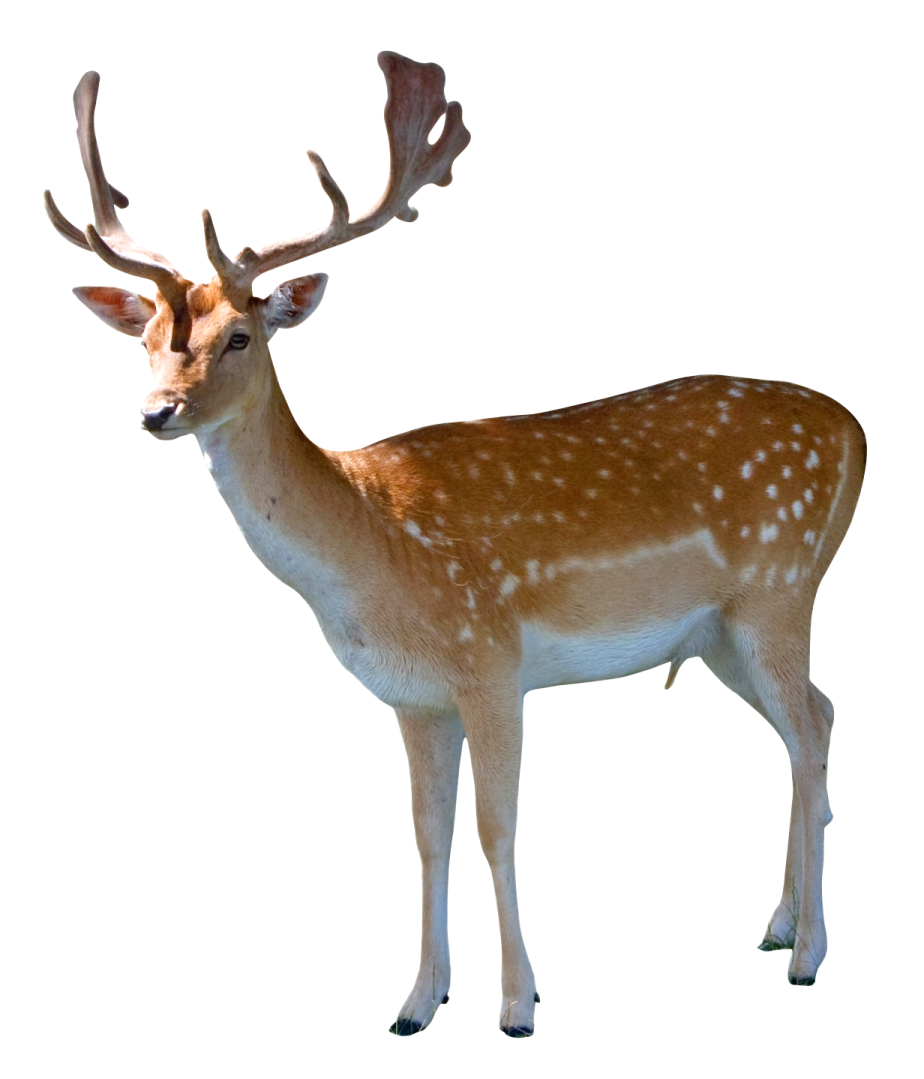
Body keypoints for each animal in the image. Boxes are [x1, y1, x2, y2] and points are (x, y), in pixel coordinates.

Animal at [44, 53, 865, 1036]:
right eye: (149, 347)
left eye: (239, 336)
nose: (156, 412)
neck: (370, 545)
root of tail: (857, 432)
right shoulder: (413, 695)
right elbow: (426, 835)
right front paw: (417, 1001)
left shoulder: (492, 661)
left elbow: (494, 829)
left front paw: (517, 1004)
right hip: (718, 637)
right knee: (815, 715)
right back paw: (778, 927)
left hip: (781, 586)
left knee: (810, 726)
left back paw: (811, 955)